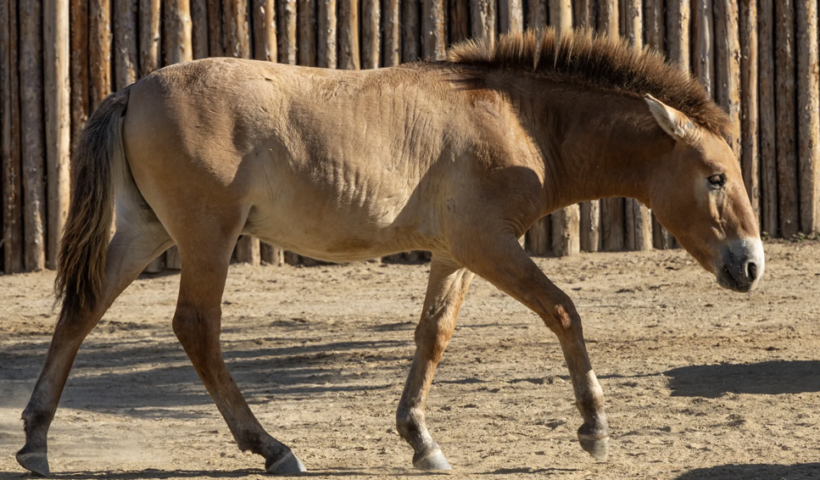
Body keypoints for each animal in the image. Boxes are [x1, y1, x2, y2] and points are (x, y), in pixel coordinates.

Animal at [16, 29, 764, 476]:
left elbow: (433, 335)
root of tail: (132, 89)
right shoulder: (489, 244)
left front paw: (420, 440)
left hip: (148, 234)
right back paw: (271, 447)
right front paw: (595, 427)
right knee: (195, 328)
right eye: (715, 177)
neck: (517, 118)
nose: (751, 264)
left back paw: (35, 440)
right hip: (206, 238)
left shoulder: (455, 254)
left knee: (81, 311)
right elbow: (564, 312)